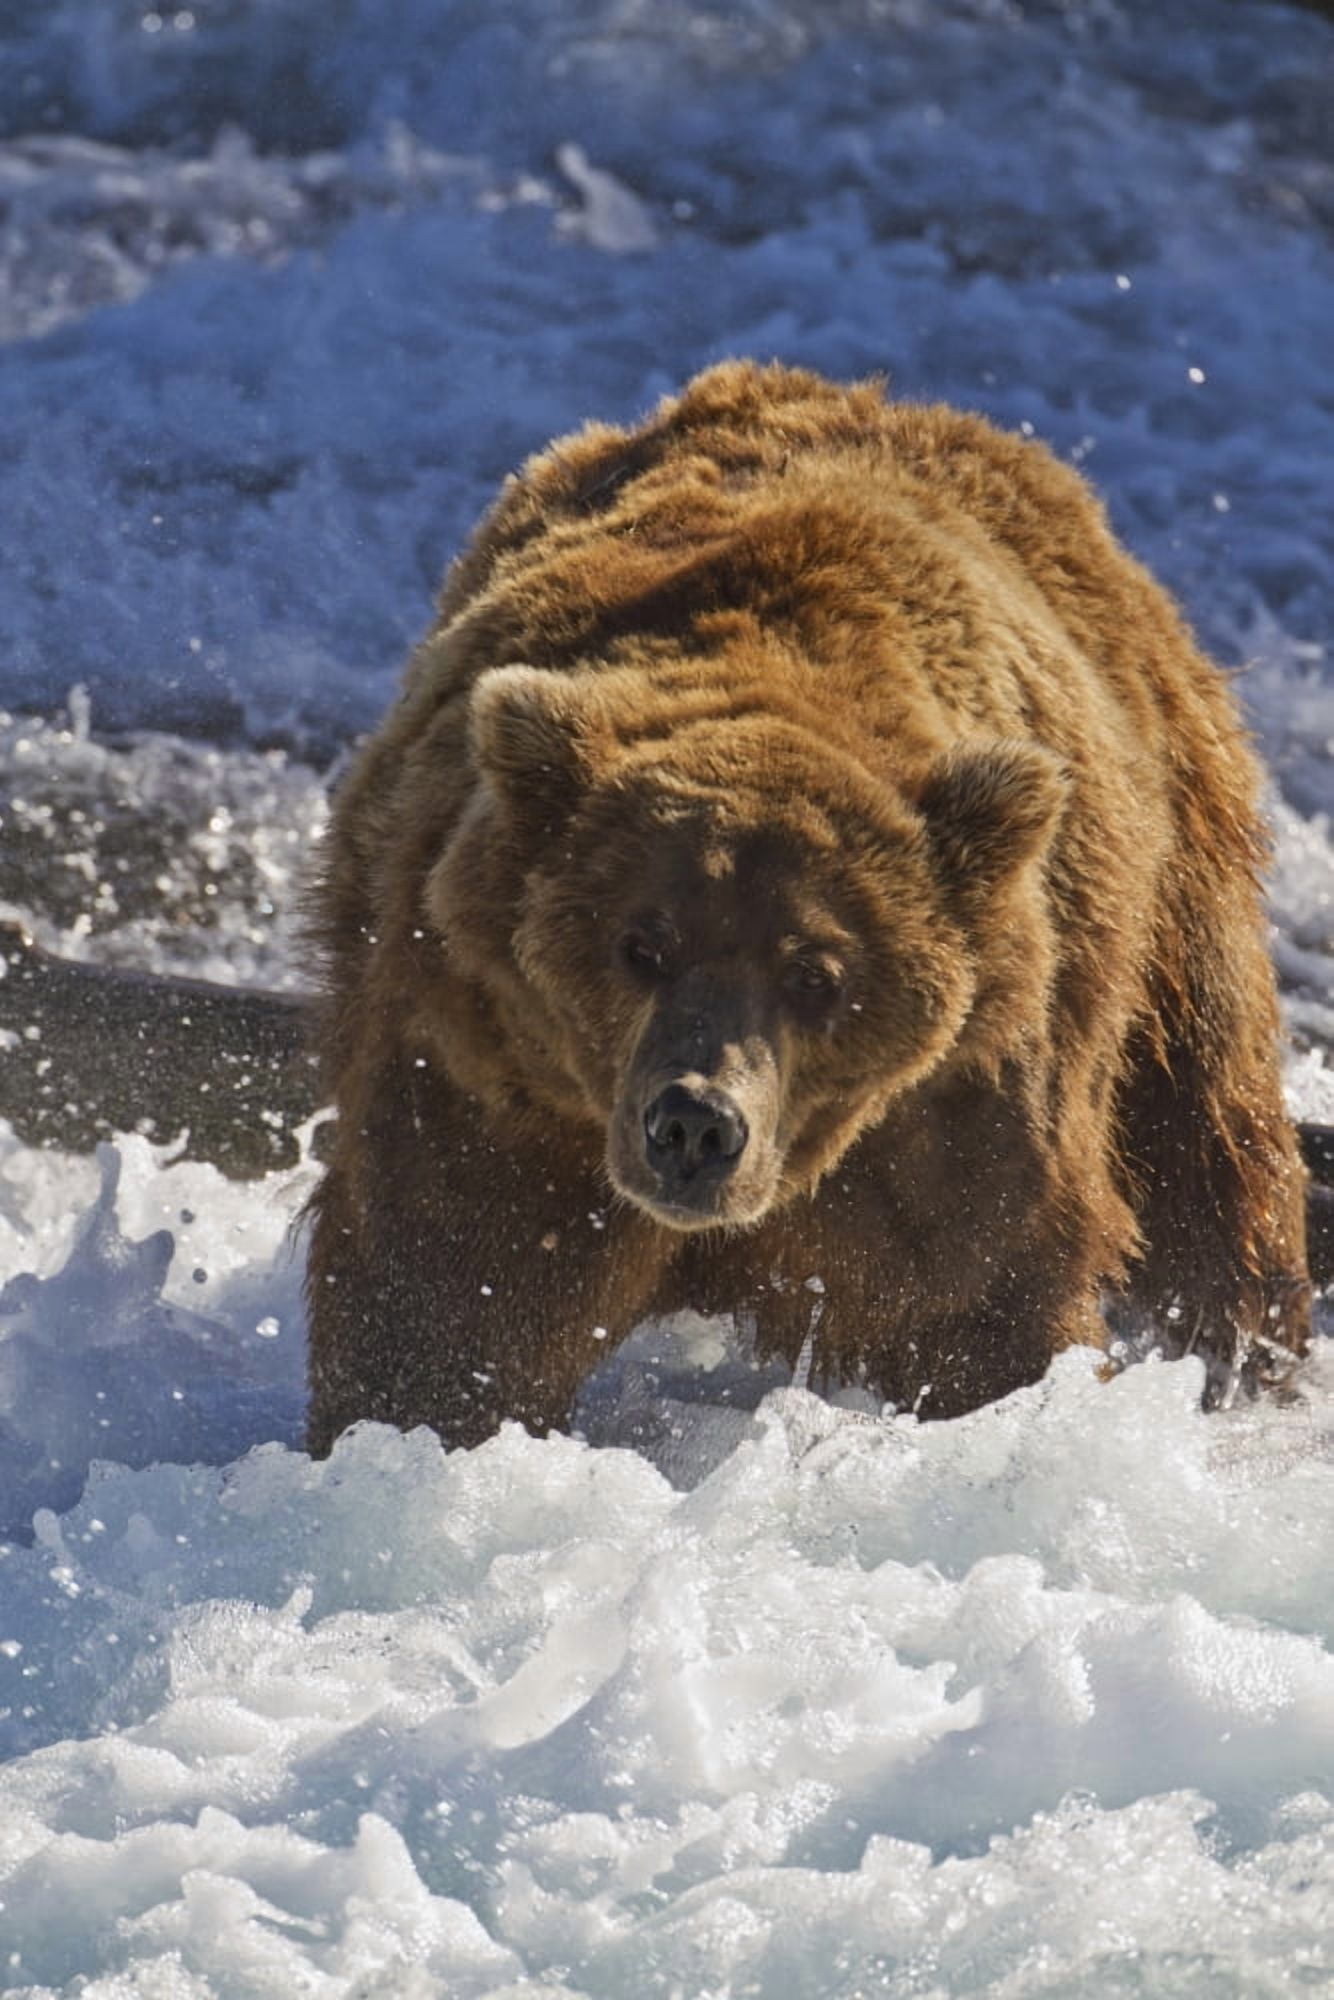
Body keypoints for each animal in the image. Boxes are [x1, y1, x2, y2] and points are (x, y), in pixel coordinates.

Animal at [304, 359, 1310, 1455]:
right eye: (639, 944)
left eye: (815, 973)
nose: (695, 1126)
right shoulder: (493, 1064)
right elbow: (450, 1304)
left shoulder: (954, 1099)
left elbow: (982, 1304)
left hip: (1175, 876)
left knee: (1209, 1138)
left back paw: (1251, 1368)